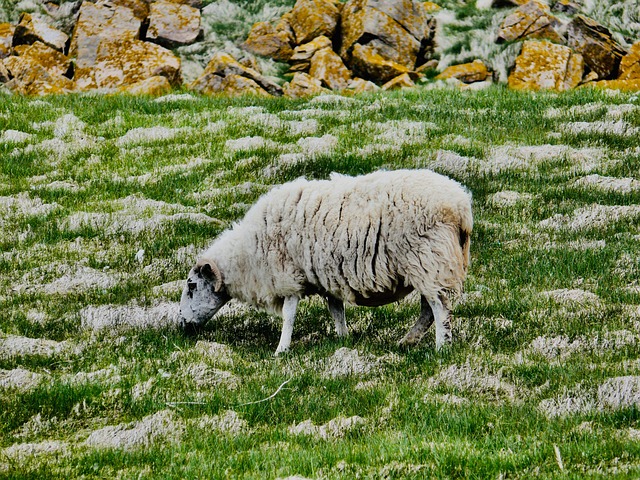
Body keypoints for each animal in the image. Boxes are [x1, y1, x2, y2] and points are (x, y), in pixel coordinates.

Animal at [179, 168, 470, 352]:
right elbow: (336, 310)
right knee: (428, 310)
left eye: (192, 287)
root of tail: (461, 206)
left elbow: (289, 316)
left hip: (428, 259)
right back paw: (408, 341)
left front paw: (281, 349)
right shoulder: (327, 276)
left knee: (439, 308)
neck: (246, 255)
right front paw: (343, 339)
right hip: (430, 266)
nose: (181, 325)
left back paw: (441, 347)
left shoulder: (288, 277)